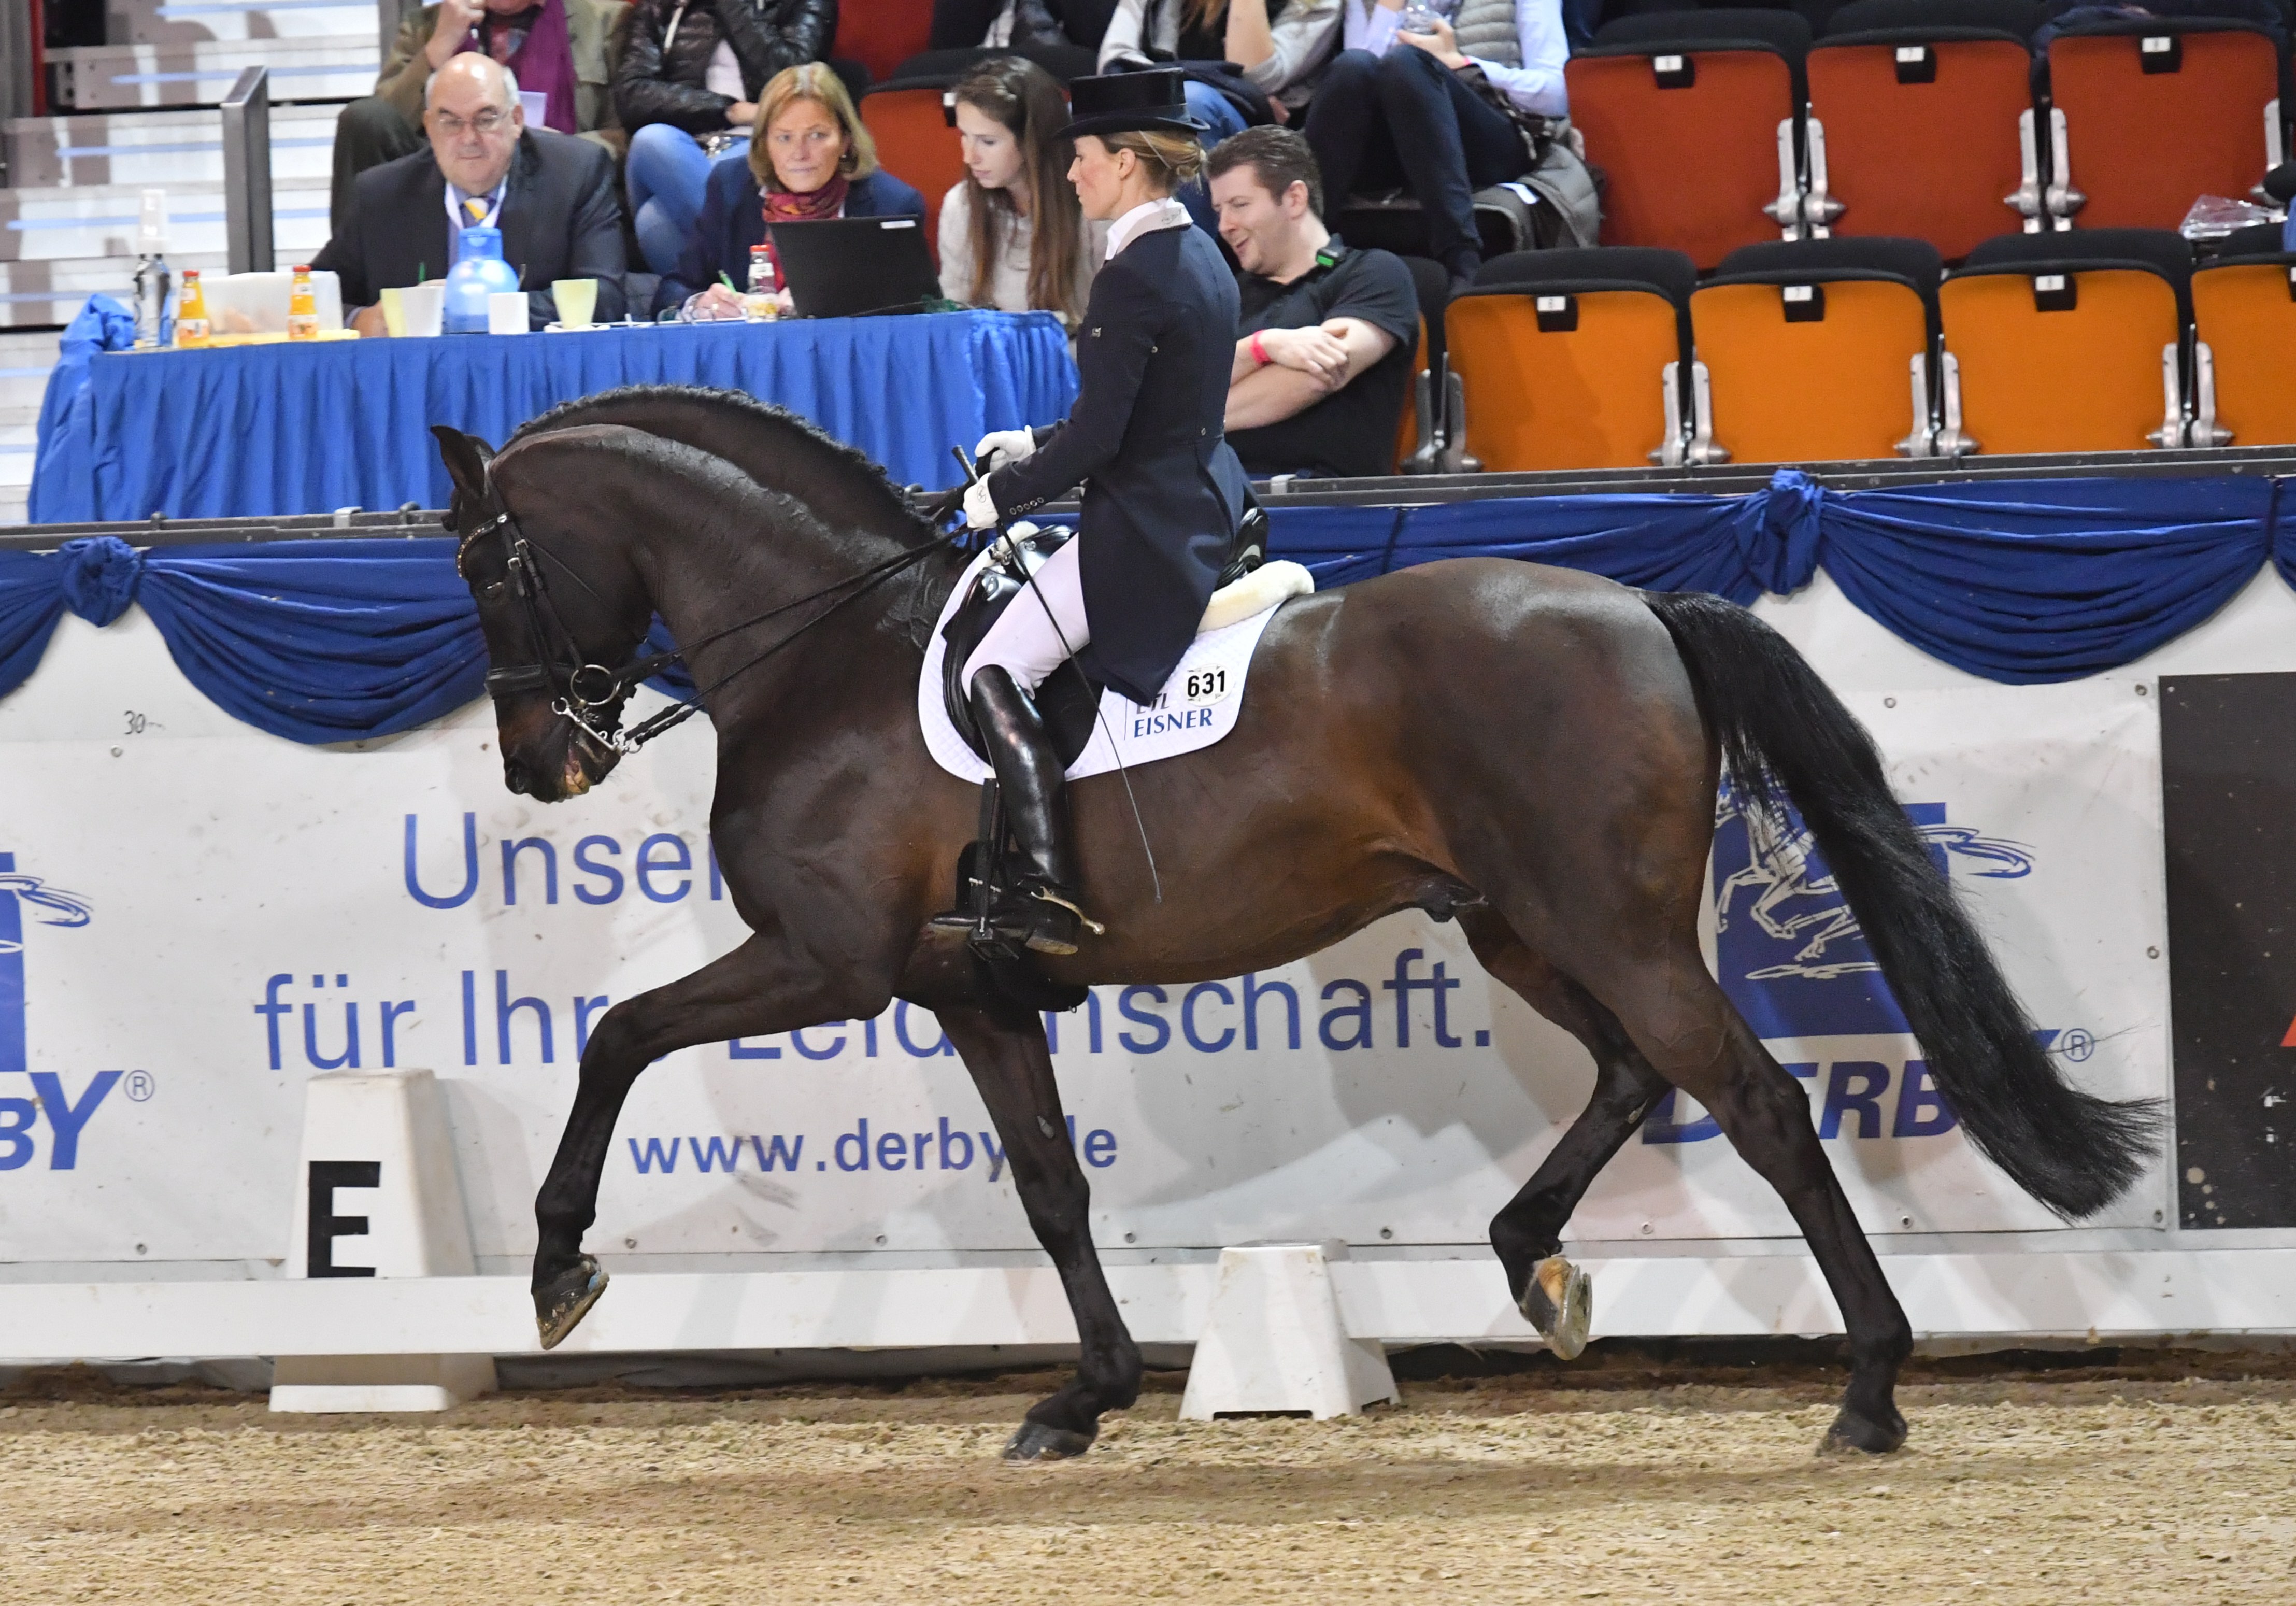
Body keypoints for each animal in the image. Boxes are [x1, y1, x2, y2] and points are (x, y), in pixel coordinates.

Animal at [438, 386, 2158, 1461]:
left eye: (485, 569)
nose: (537, 764)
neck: (828, 652)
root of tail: (1639, 608)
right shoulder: (967, 989)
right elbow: (1050, 1186)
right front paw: (1084, 1397)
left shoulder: (828, 963)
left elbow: (617, 1036)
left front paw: (559, 1266)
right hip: (1519, 924)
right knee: (1631, 1077)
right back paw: (1535, 1265)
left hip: (1606, 925)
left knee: (1756, 1103)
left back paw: (1865, 1390)